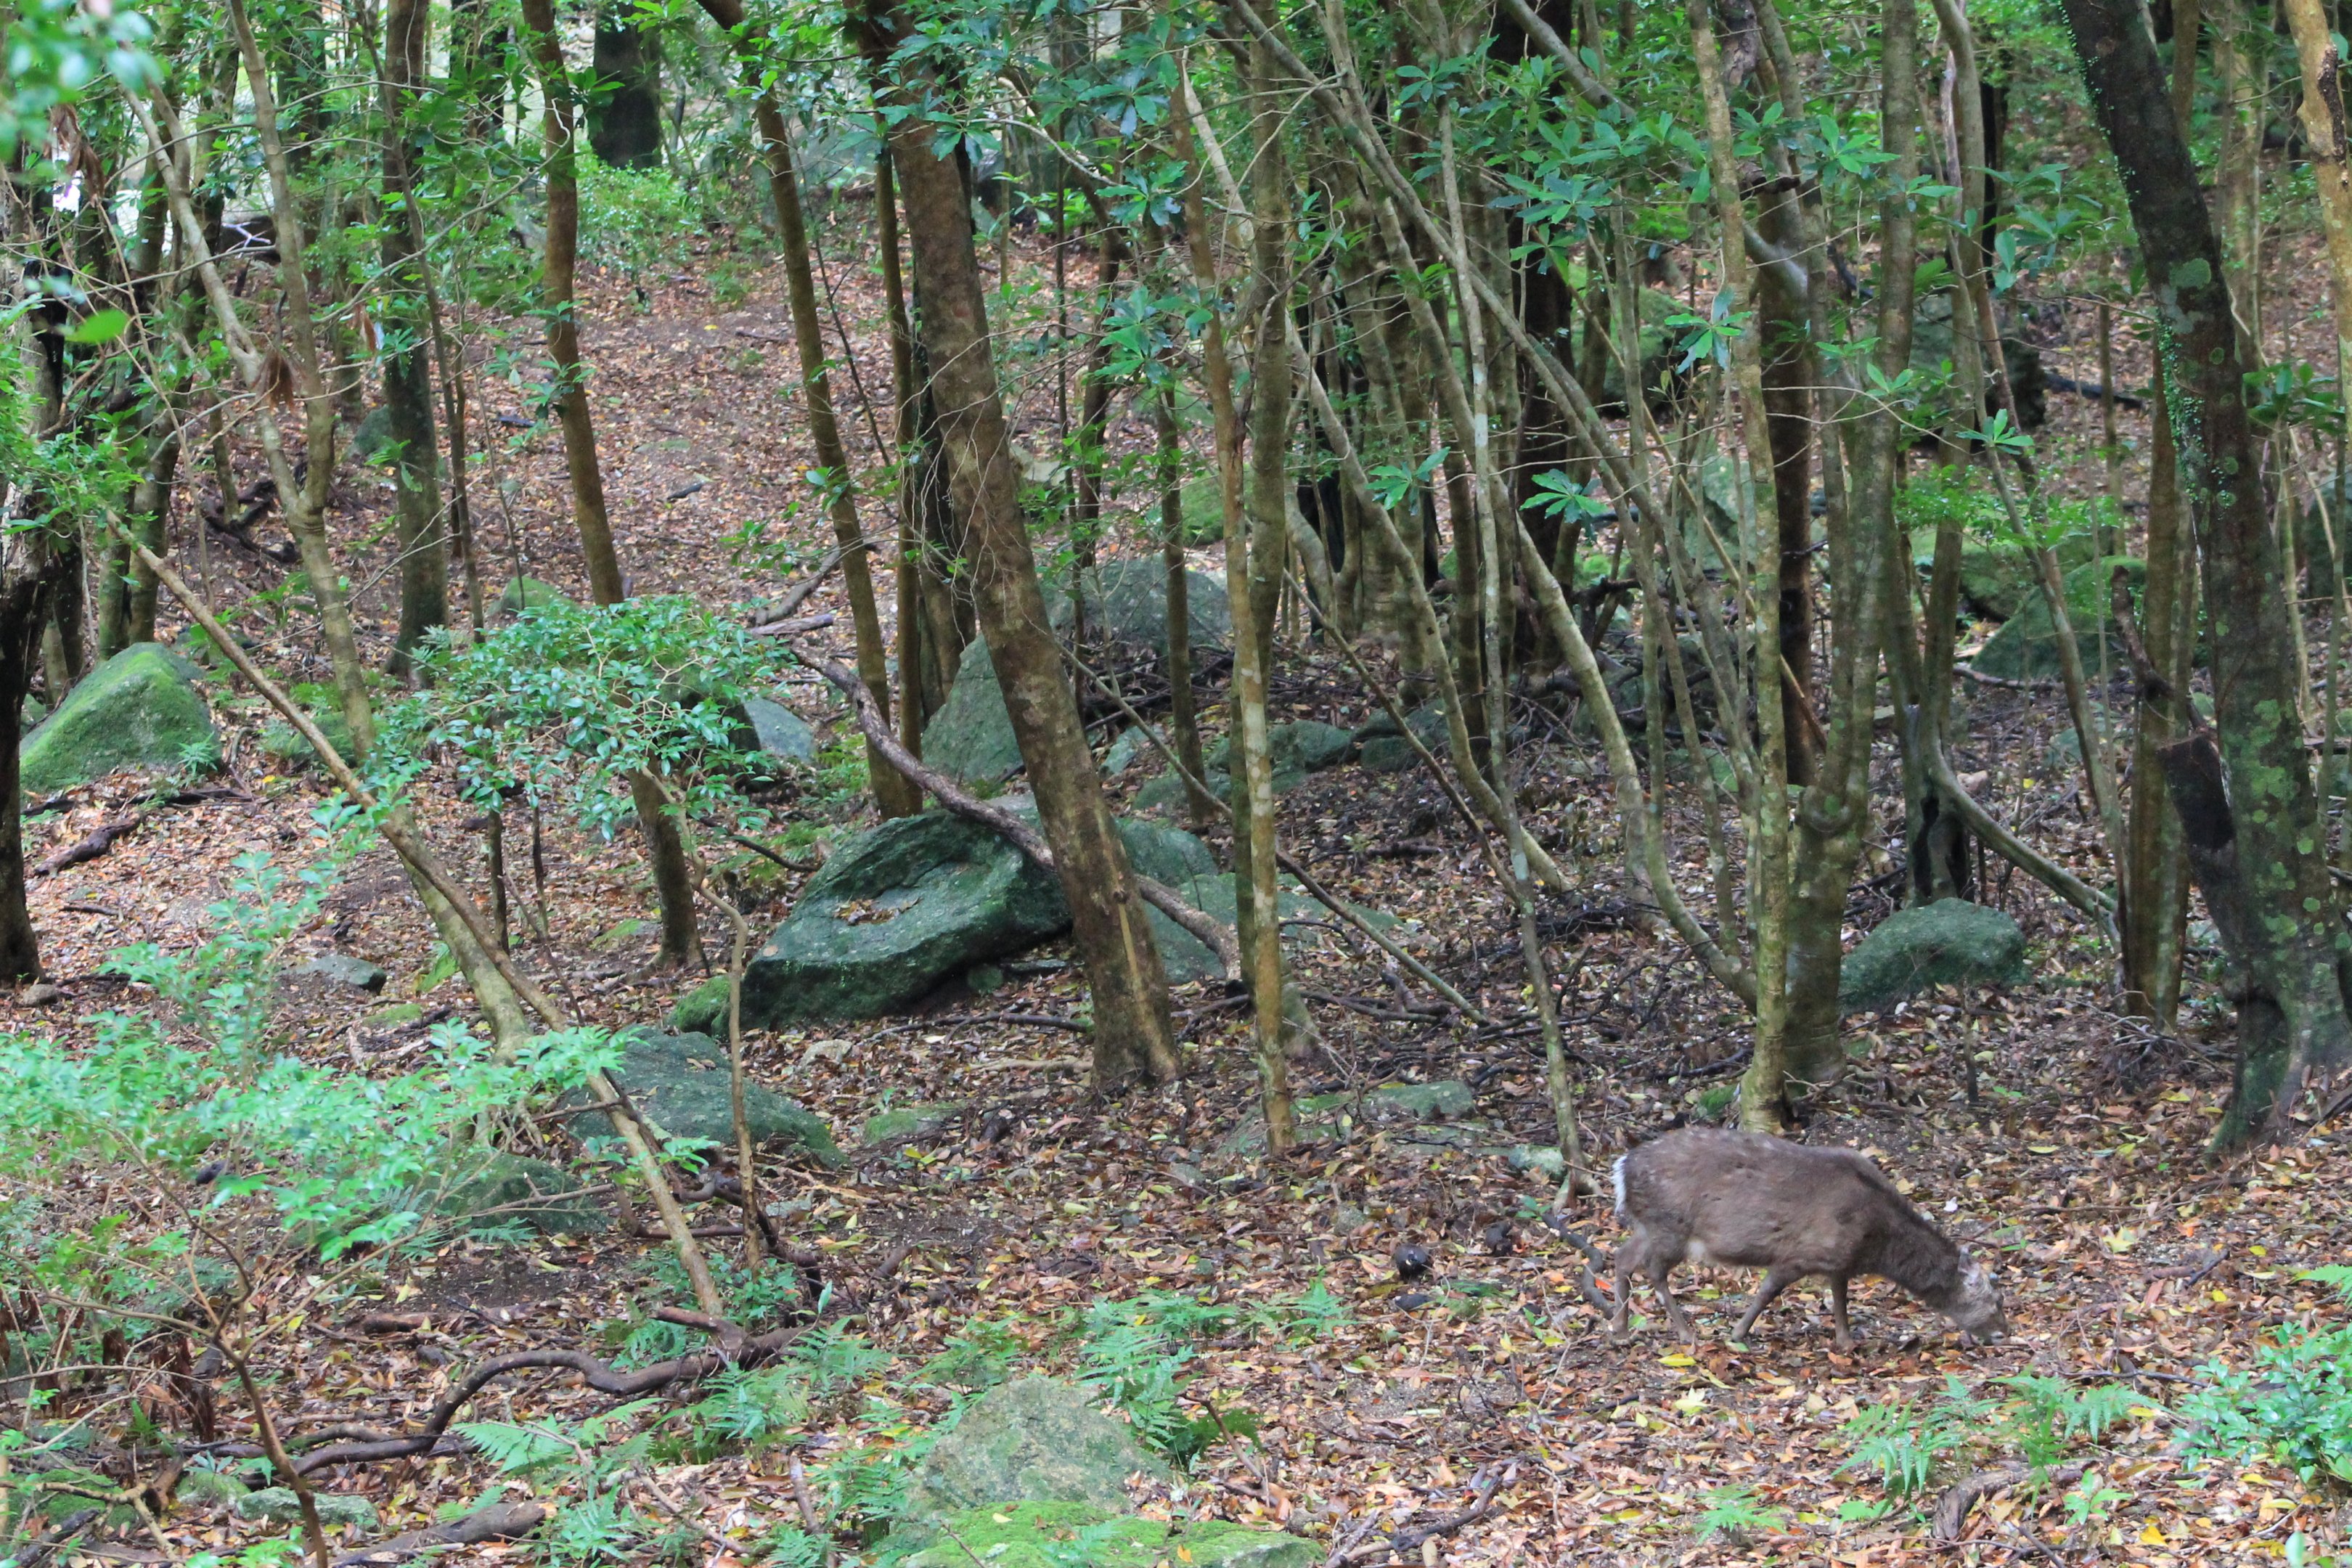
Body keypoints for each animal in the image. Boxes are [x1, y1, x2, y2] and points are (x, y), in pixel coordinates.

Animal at [1607, 1128, 2008, 1351]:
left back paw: (1622, 1329)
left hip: (1650, 1226)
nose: (2004, 1333)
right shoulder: (1800, 1252)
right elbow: (1768, 1292)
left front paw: (1846, 1341)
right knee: (1653, 1269)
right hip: (1671, 1226)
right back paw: (1685, 1333)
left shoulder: (1838, 1262)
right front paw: (1738, 1333)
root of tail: (1621, 1169)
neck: (1875, 1241)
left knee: (1621, 1257)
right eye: (1995, 1300)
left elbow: (1840, 1300)